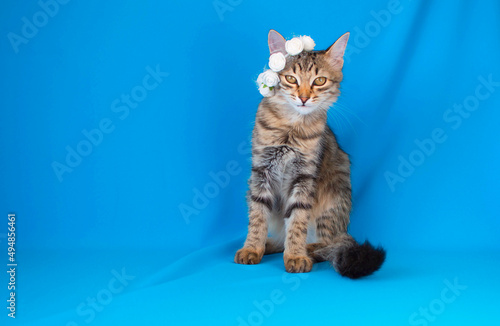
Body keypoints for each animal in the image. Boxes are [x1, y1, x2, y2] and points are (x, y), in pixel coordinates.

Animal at [234, 30, 386, 278]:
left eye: (319, 81)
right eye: (291, 79)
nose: (304, 98)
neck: (291, 128)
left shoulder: (304, 176)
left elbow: (297, 222)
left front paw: (296, 256)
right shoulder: (262, 170)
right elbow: (257, 216)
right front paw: (252, 248)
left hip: (332, 203)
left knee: (330, 243)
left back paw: (308, 249)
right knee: (281, 237)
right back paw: (270, 244)